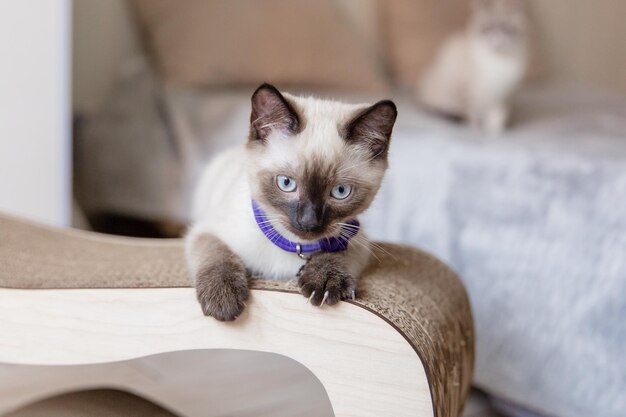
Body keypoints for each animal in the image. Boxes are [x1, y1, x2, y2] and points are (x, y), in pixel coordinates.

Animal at [185, 83, 394, 320]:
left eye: (340, 191)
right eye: (286, 183)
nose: (309, 223)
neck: (294, 245)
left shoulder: (356, 238)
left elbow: (338, 253)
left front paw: (325, 280)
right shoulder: (205, 231)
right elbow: (218, 257)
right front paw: (223, 300)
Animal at [414, 0, 528, 134]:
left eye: (506, 28)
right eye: (487, 28)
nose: (497, 40)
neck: (497, 61)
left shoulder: (501, 94)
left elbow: (497, 116)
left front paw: (493, 132)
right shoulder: (469, 93)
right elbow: (472, 114)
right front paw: (475, 129)